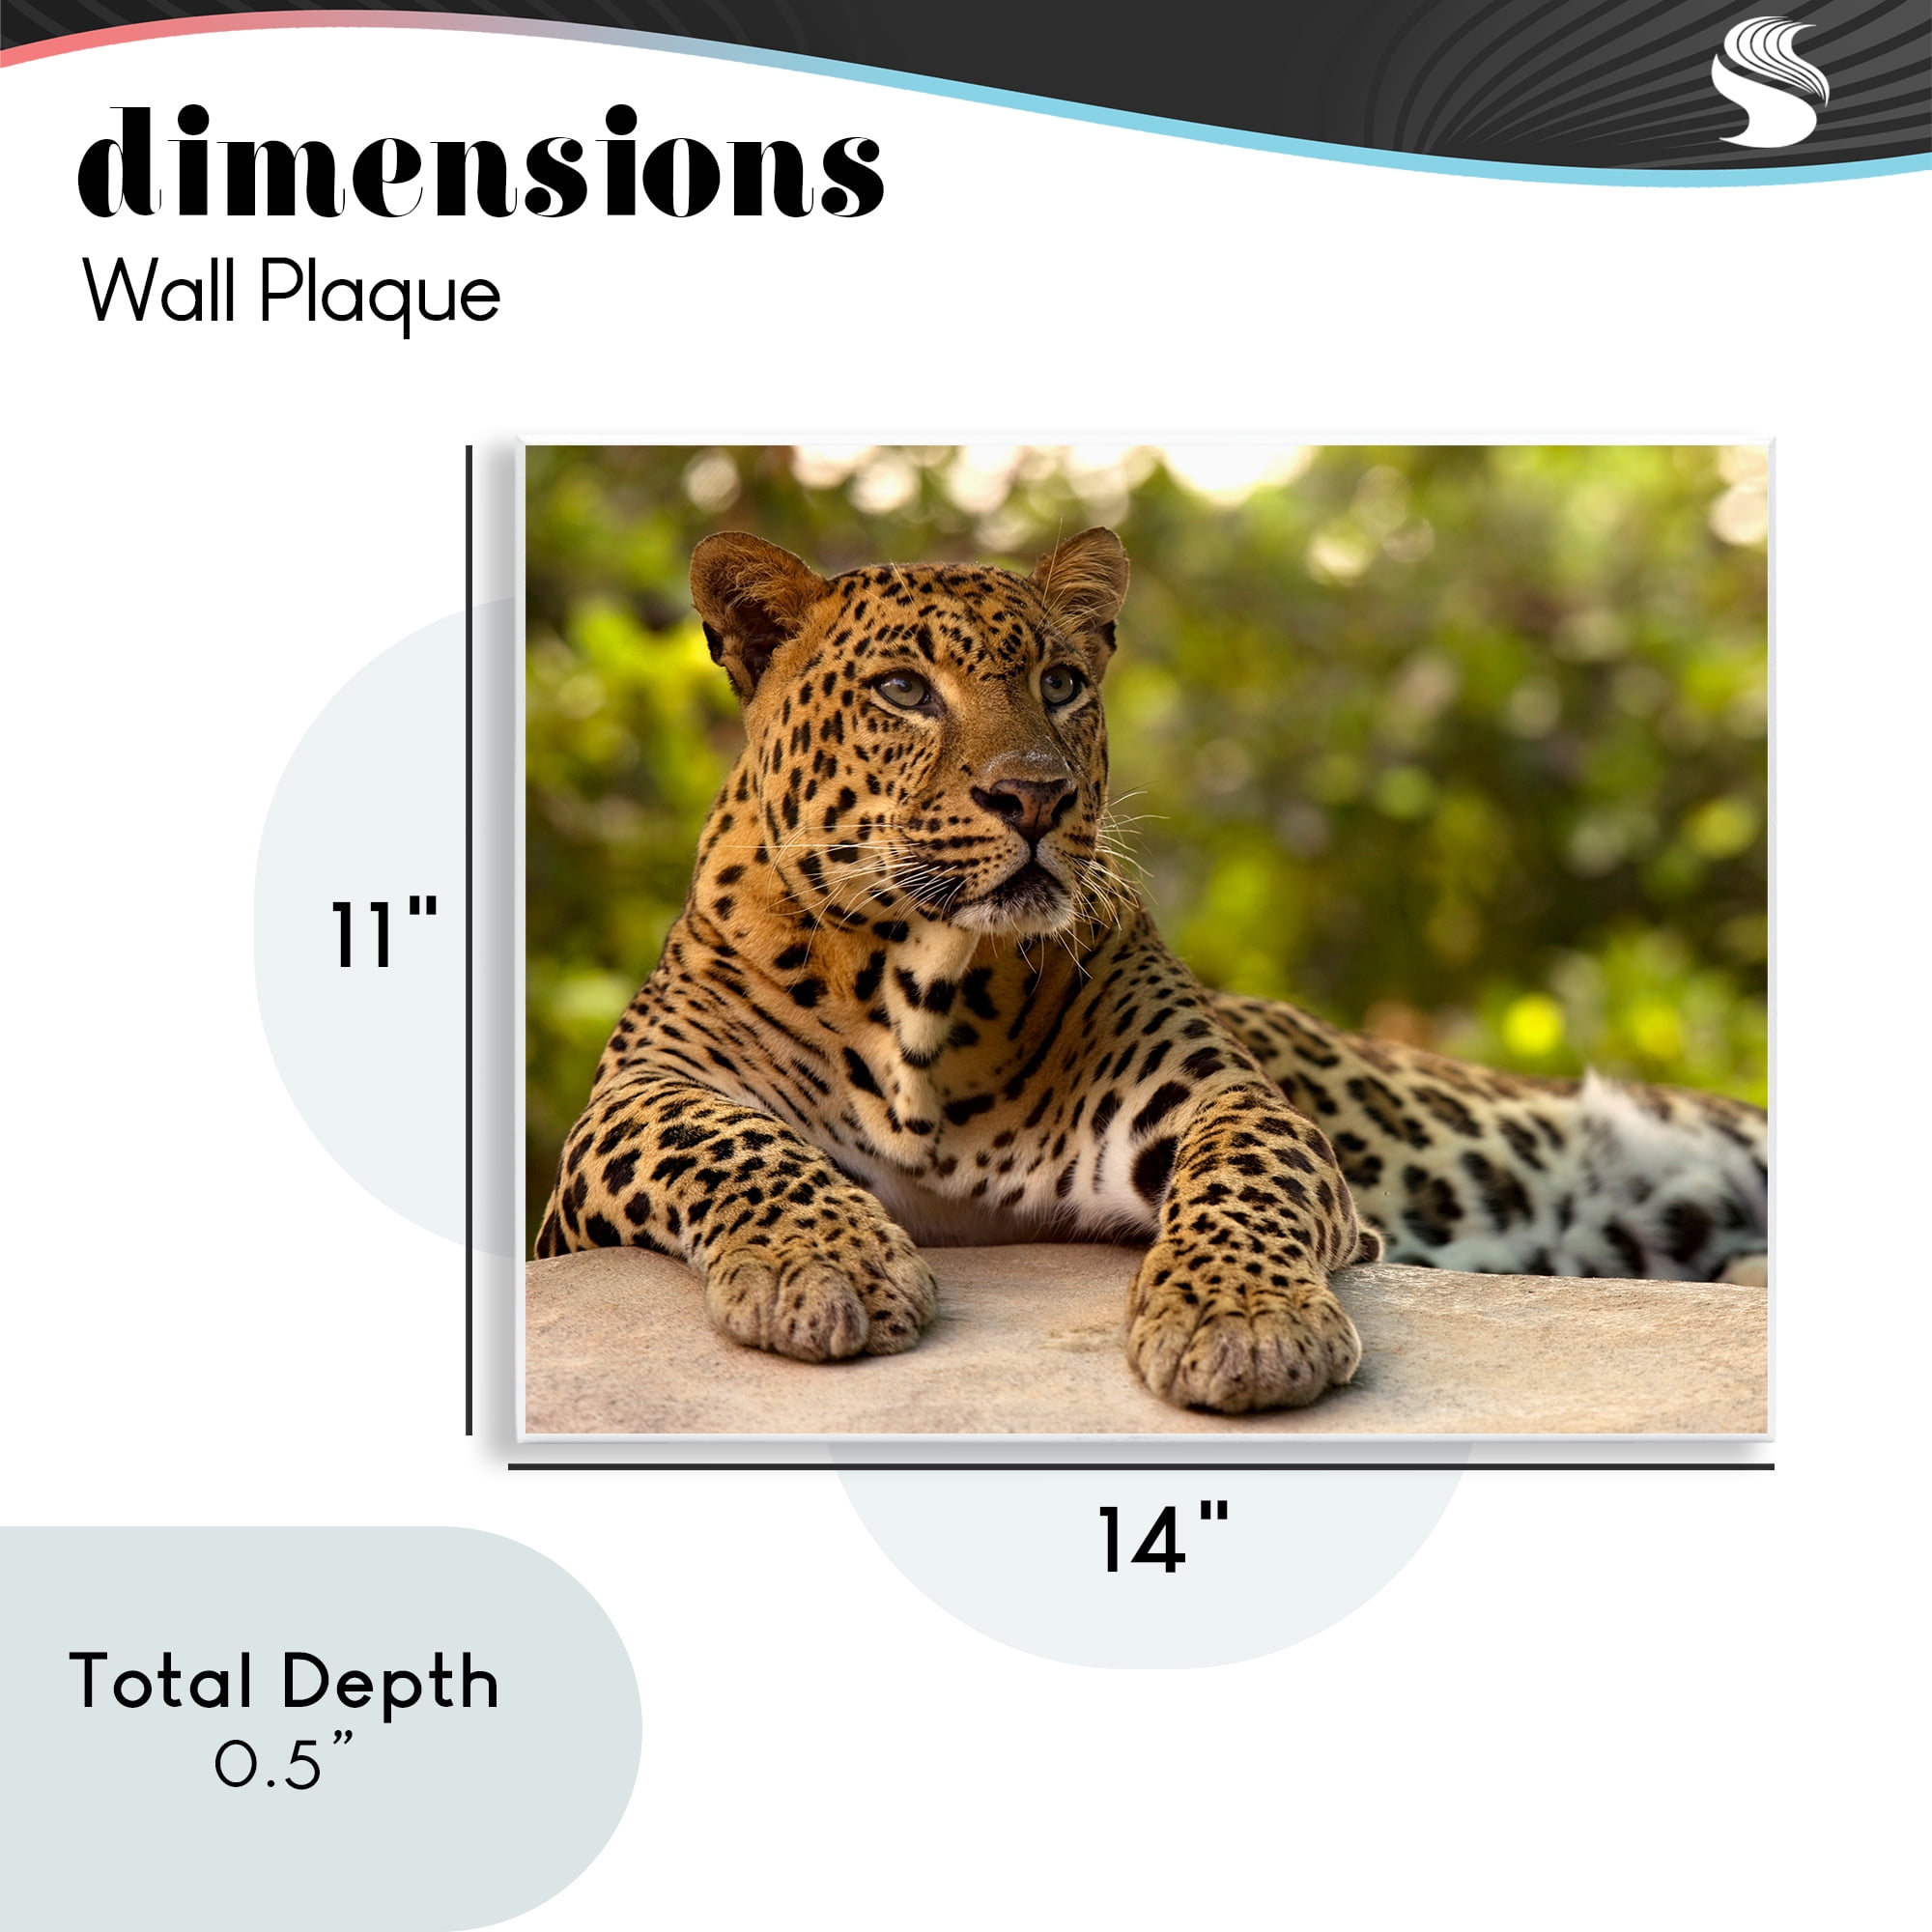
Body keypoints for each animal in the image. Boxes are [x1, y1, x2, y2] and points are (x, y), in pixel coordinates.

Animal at [535, 527, 1768, 1414]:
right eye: (902, 690)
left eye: (1061, 682)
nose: (1034, 796)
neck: (922, 988)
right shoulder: (623, 1110)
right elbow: (724, 1139)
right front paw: (824, 1265)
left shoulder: (1212, 1094)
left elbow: (1242, 1174)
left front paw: (1240, 1322)